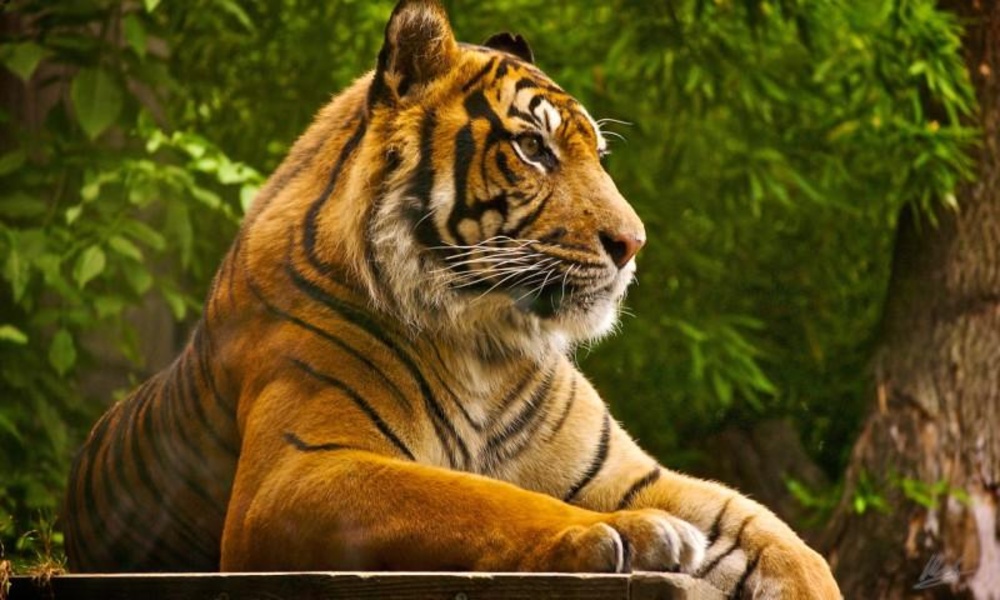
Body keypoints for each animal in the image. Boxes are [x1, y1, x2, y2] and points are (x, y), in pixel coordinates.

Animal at [63, 1, 841, 597]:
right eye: (533, 149)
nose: (633, 243)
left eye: (596, 154)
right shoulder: (296, 472)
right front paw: (617, 533)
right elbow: (481, 496)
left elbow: (777, 535)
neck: (487, 343)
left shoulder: (628, 472)